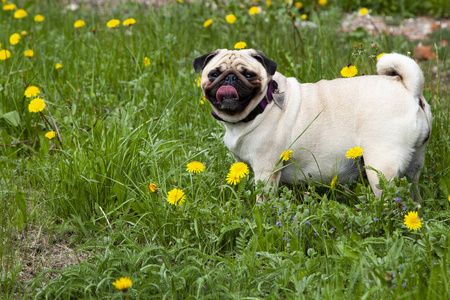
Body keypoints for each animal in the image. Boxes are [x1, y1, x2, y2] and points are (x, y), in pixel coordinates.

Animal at [193, 49, 432, 199]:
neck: (261, 106)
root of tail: (409, 88)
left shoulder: (266, 168)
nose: (229, 78)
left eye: (249, 75)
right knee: (413, 191)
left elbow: (263, 198)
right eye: (214, 74)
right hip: (414, 163)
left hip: (380, 166)